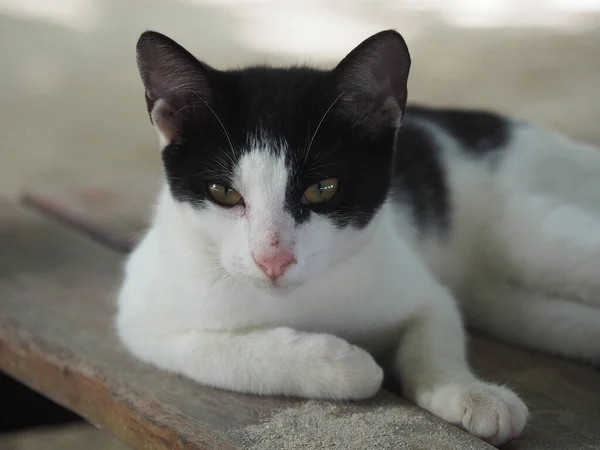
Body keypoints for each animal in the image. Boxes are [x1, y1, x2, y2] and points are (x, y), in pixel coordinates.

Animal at [116, 29, 600, 446]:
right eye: (222, 192)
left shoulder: (418, 284)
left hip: (532, 237)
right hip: (507, 302)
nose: (273, 260)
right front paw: (346, 364)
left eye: (322, 188)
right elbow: (213, 352)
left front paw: (470, 392)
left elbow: (436, 334)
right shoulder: (140, 316)